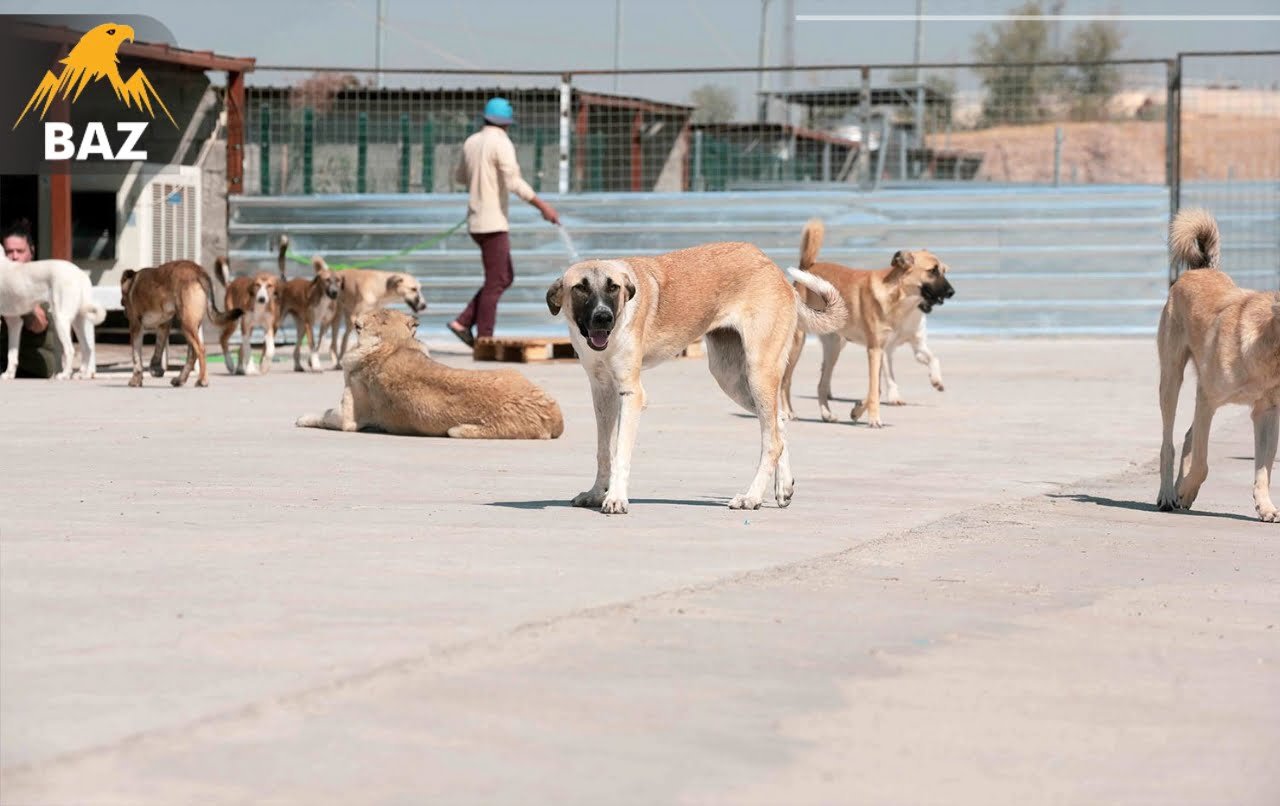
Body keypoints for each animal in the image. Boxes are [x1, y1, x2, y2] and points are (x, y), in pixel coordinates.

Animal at [120, 258, 241, 386]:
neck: (131, 284)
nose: (124, 312)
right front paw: (155, 368)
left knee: (200, 350)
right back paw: (180, 379)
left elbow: (136, 355)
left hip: (186, 324)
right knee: (192, 353)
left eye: (124, 301)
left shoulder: (135, 326)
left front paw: (136, 379)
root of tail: (198, 270)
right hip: (191, 325)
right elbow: (158, 348)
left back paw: (202, 380)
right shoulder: (163, 326)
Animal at [276, 234, 343, 373]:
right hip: (280, 321)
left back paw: (297, 366)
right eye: (327, 280)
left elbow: (318, 344)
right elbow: (312, 345)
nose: (334, 293)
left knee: (296, 348)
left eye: (338, 280)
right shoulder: (309, 323)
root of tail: (286, 283)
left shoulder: (325, 324)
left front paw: (312, 362)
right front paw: (316, 365)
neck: (323, 299)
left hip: (301, 326)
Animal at [299, 308, 565, 442]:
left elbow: (323, 414)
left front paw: (303, 418)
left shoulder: (346, 418)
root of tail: (554, 417)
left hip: (458, 430)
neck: (392, 343)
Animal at [778, 214, 952, 429]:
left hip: (833, 347)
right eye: (933, 271)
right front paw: (874, 419)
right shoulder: (875, 350)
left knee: (822, 384)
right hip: (797, 343)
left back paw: (827, 414)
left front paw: (858, 410)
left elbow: (876, 389)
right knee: (786, 380)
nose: (952, 292)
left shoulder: (882, 350)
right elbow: (875, 388)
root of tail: (808, 267)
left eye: (943, 270)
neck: (896, 296)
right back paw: (788, 411)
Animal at [1162, 208, 1280, 524]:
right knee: (1169, 443)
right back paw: (1168, 494)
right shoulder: (1207, 399)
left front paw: (1265, 507)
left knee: (1188, 436)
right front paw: (1185, 491)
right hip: (1171, 381)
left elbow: (1264, 469)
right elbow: (1202, 463)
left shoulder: (1266, 413)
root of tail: (1200, 269)